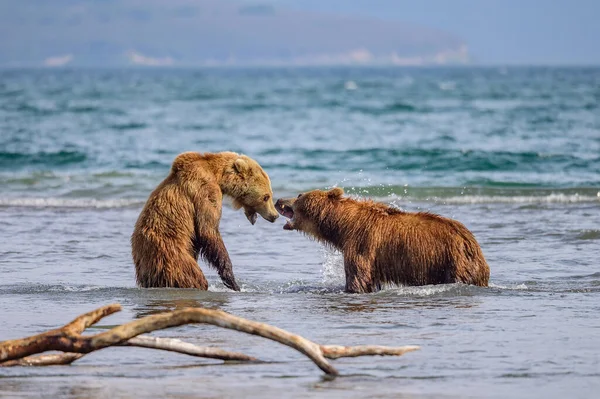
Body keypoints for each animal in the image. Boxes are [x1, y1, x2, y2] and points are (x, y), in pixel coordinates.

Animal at [131, 151, 278, 290]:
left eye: (270, 194)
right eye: (266, 197)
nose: (275, 215)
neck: (218, 176)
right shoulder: (205, 191)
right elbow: (208, 230)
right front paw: (232, 281)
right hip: (170, 253)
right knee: (190, 275)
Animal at [274, 188, 490, 294]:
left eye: (299, 195)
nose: (278, 200)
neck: (341, 226)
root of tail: (472, 242)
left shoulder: (361, 243)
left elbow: (358, 276)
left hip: (453, 261)